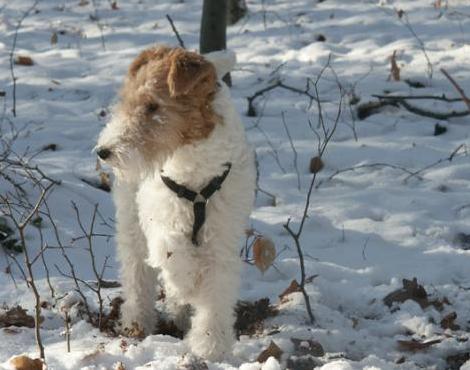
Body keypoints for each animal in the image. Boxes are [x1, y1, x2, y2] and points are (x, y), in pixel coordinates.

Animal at [95, 44, 255, 360]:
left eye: (153, 106)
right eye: (127, 101)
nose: (104, 151)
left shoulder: (222, 239)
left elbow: (216, 292)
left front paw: (210, 346)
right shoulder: (162, 220)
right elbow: (171, 256)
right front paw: (184, 289)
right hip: (132, 224)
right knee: (137, 277)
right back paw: (137, 321)